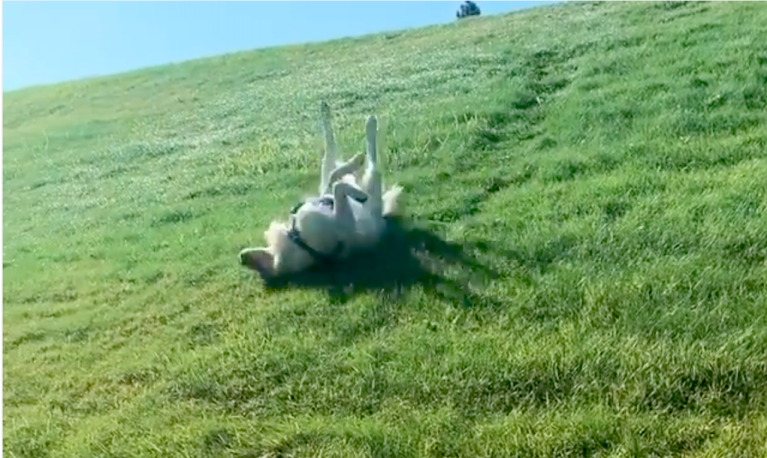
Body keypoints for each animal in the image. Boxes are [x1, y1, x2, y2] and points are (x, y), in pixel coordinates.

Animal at [242, 101, 404, 280]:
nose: (243, 258)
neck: (296, 237)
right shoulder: (344, 225)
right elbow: (338, 187)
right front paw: (358, 193)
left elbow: (334, 181)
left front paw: (351, 169)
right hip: (373, 184)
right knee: (368, 162)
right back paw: (369, 128)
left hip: (329, 175)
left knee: (330, 156)